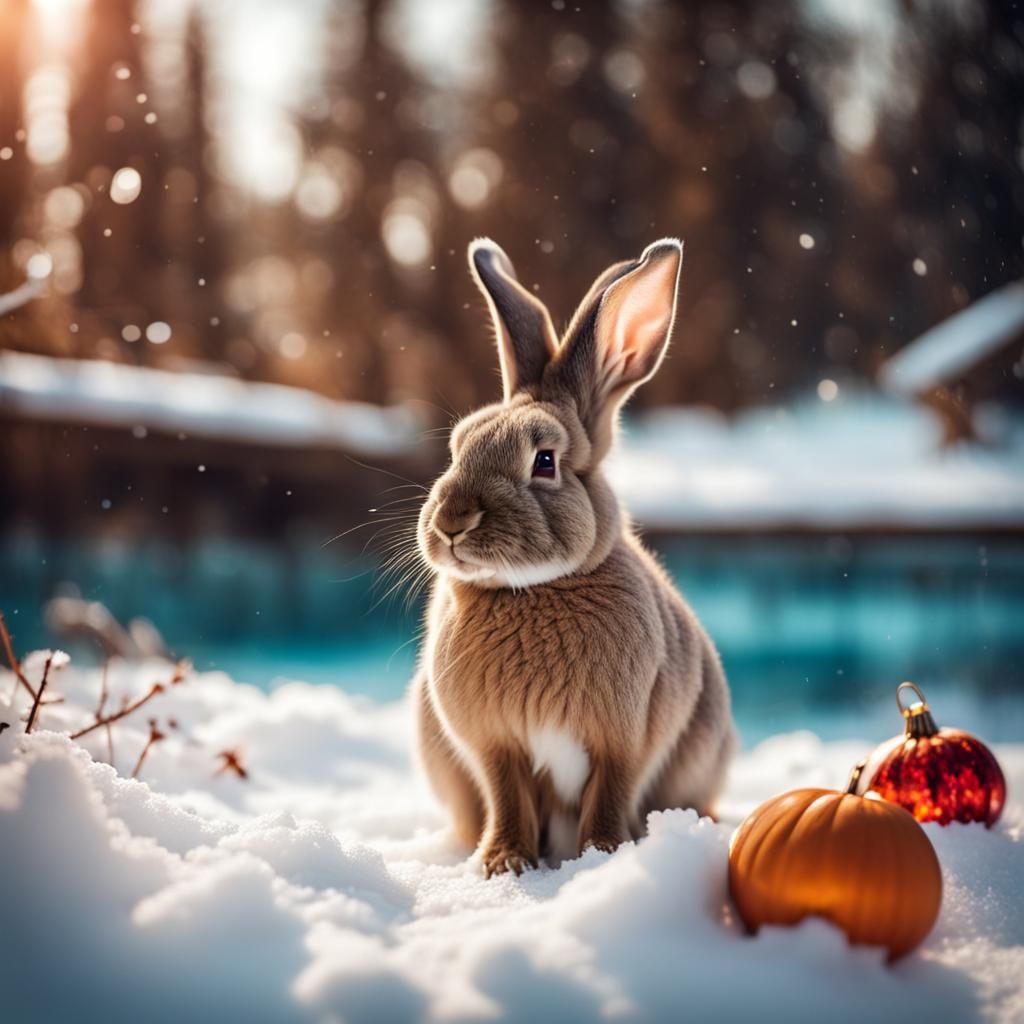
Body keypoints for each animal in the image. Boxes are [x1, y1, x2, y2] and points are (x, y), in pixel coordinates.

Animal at [412, 237, 735, 877]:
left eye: (544, 462)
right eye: (457, 448)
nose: (452, 523)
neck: (531, 588)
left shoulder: (623, 739)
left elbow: (609, 794)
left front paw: (602, 857)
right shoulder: (496, 747)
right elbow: (507, 799)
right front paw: (502, 863)